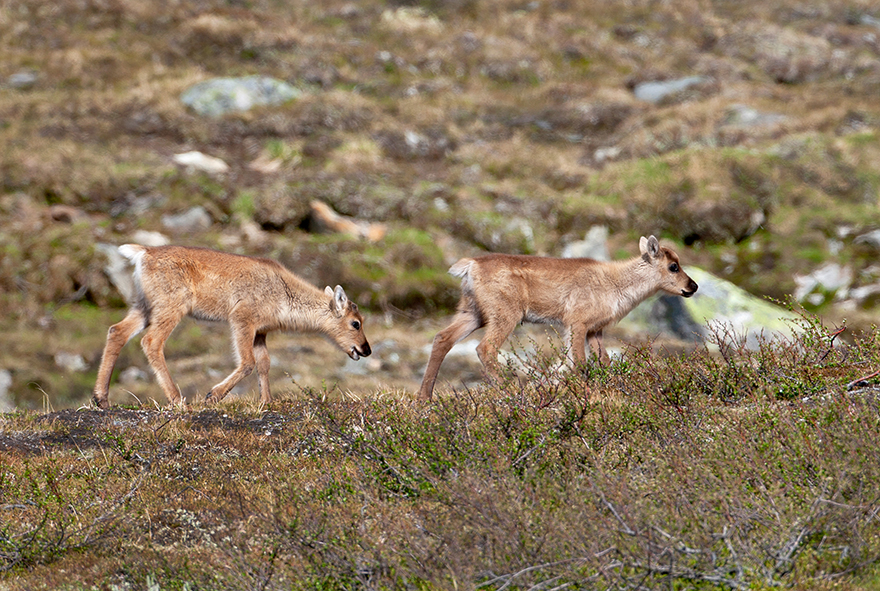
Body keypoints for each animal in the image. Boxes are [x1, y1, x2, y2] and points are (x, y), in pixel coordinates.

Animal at [93, 243, 372, 410]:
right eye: (355, 323)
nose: (366, 349)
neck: (285, 297)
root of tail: (143, 253)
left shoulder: (261, 331)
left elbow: (264, 363)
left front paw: (266, 401)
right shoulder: (241, 318)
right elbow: (247, 362)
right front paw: (213, 395)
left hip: (144, 306)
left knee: (116, 331)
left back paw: (101, 398)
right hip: (170, 307)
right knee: (151, 341)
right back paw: (178, 399)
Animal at [416, 234, 696, 400]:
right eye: (673, 266)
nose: (693, 286)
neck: (618, 287)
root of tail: (469, 266)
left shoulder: (595, 329)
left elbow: (603, 361)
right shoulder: (576, 322)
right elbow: (579, 363)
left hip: (472, 312)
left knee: (442, 338)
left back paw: (423, 399)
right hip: (504, 313)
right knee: (485, 348)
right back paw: (511, 390)